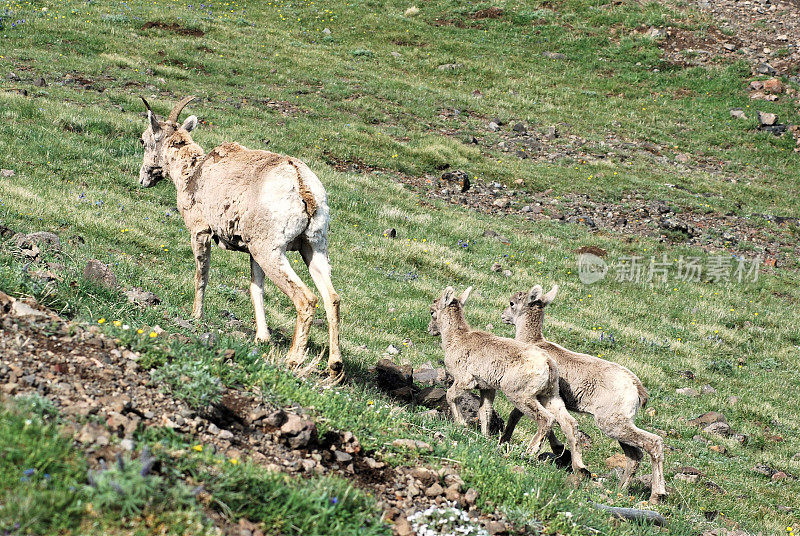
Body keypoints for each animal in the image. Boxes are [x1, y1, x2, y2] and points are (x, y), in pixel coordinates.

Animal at [137, 97, 340, 382]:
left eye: (143, 140)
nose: (143, 179)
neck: (191, 173)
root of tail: (303, 188)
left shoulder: (200, 232)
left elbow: (202, 276)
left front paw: (196, 316)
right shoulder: (252, 253)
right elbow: (256, 289)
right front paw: (262, 338)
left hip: (272, 251)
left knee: (306, 298)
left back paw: (292, 360)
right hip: (313, 248)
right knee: (332, 298)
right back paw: (335, 368)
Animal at [428, 286, 592, 476]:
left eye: (432, 312)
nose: (430, 329)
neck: (456, 339)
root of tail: (548, 364)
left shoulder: (465, 380)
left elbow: (451, 396)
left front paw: (461, 424)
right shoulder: (487, 388)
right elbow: (485, 411)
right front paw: (485, 437)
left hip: (520, 395)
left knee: (546, 419)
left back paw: (529, 453)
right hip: (550, 397)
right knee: (569, 423)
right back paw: (578, 467)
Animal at [500, 284, 668, 502]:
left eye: (512, 303)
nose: (503, 316)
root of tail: (636, 387)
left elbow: (516, 416)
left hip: (611, 423)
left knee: (653, 443)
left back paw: (656, 495)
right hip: (620, 424)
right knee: (634, 455)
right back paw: (620, 489)